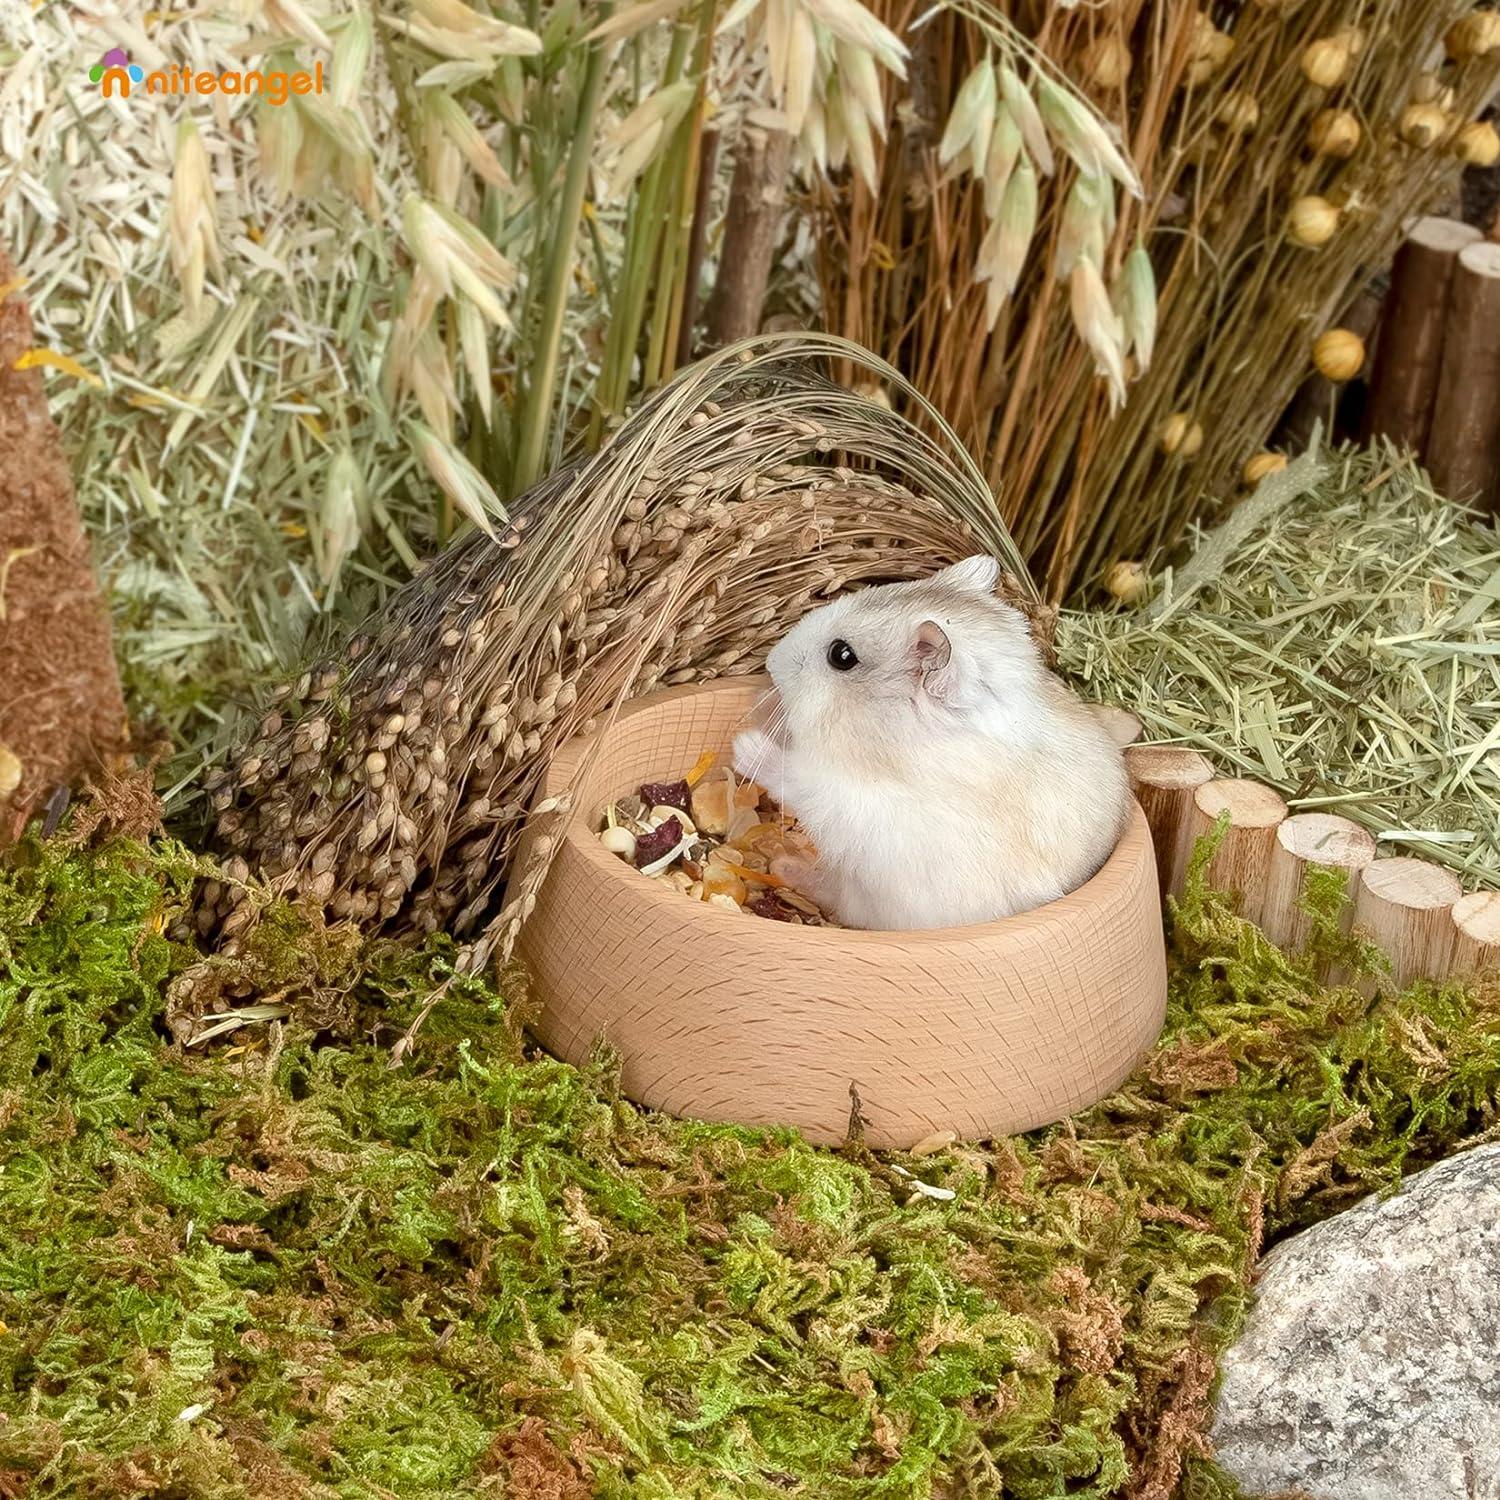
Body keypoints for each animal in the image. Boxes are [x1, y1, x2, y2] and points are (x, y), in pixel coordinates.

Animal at [732, 555, 1130, 931]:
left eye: (841, 656)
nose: (770, 662)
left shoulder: (866, 810)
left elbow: (803, 781)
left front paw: (744, 745)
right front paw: (759, 704)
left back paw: (786, 863)